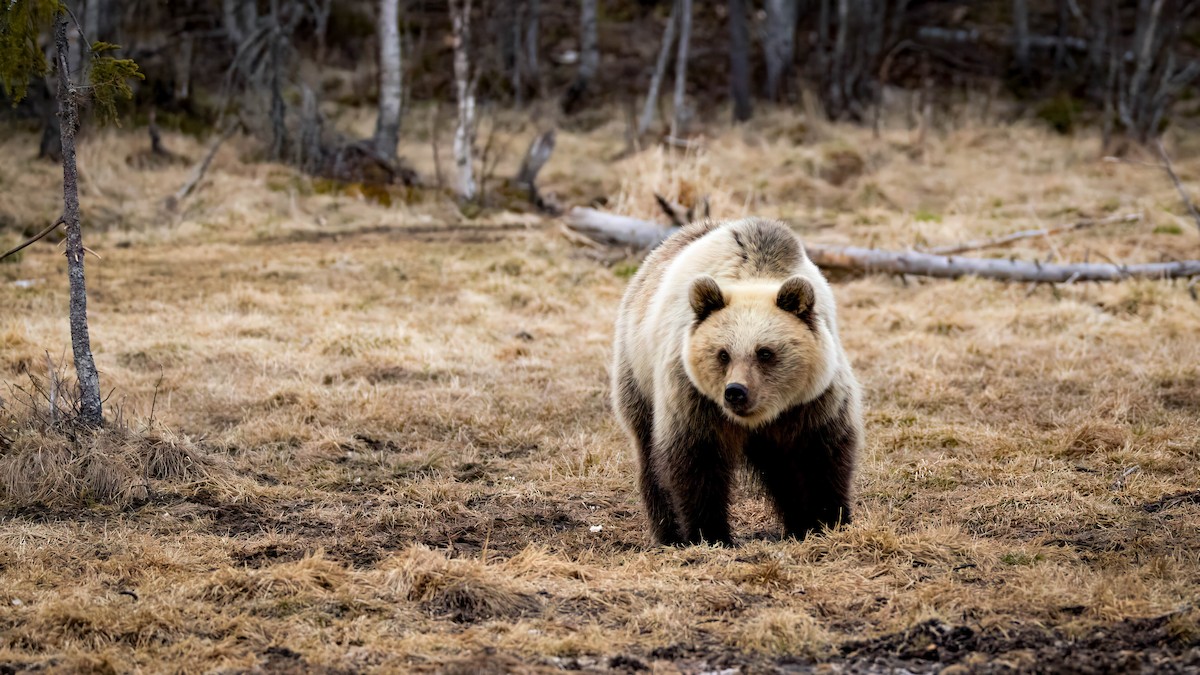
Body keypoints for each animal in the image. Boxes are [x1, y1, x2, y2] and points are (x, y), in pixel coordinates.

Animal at [611, 217, 862, 546]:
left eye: (765, 352)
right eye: (723, 354)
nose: (736, 392)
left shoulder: (812, 401)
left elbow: (820, 457)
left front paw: (827, 521)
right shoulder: (693, 397)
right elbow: (695, 460)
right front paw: (709, 534)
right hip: (638, 373)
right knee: (648, 451)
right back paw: (667, 533)